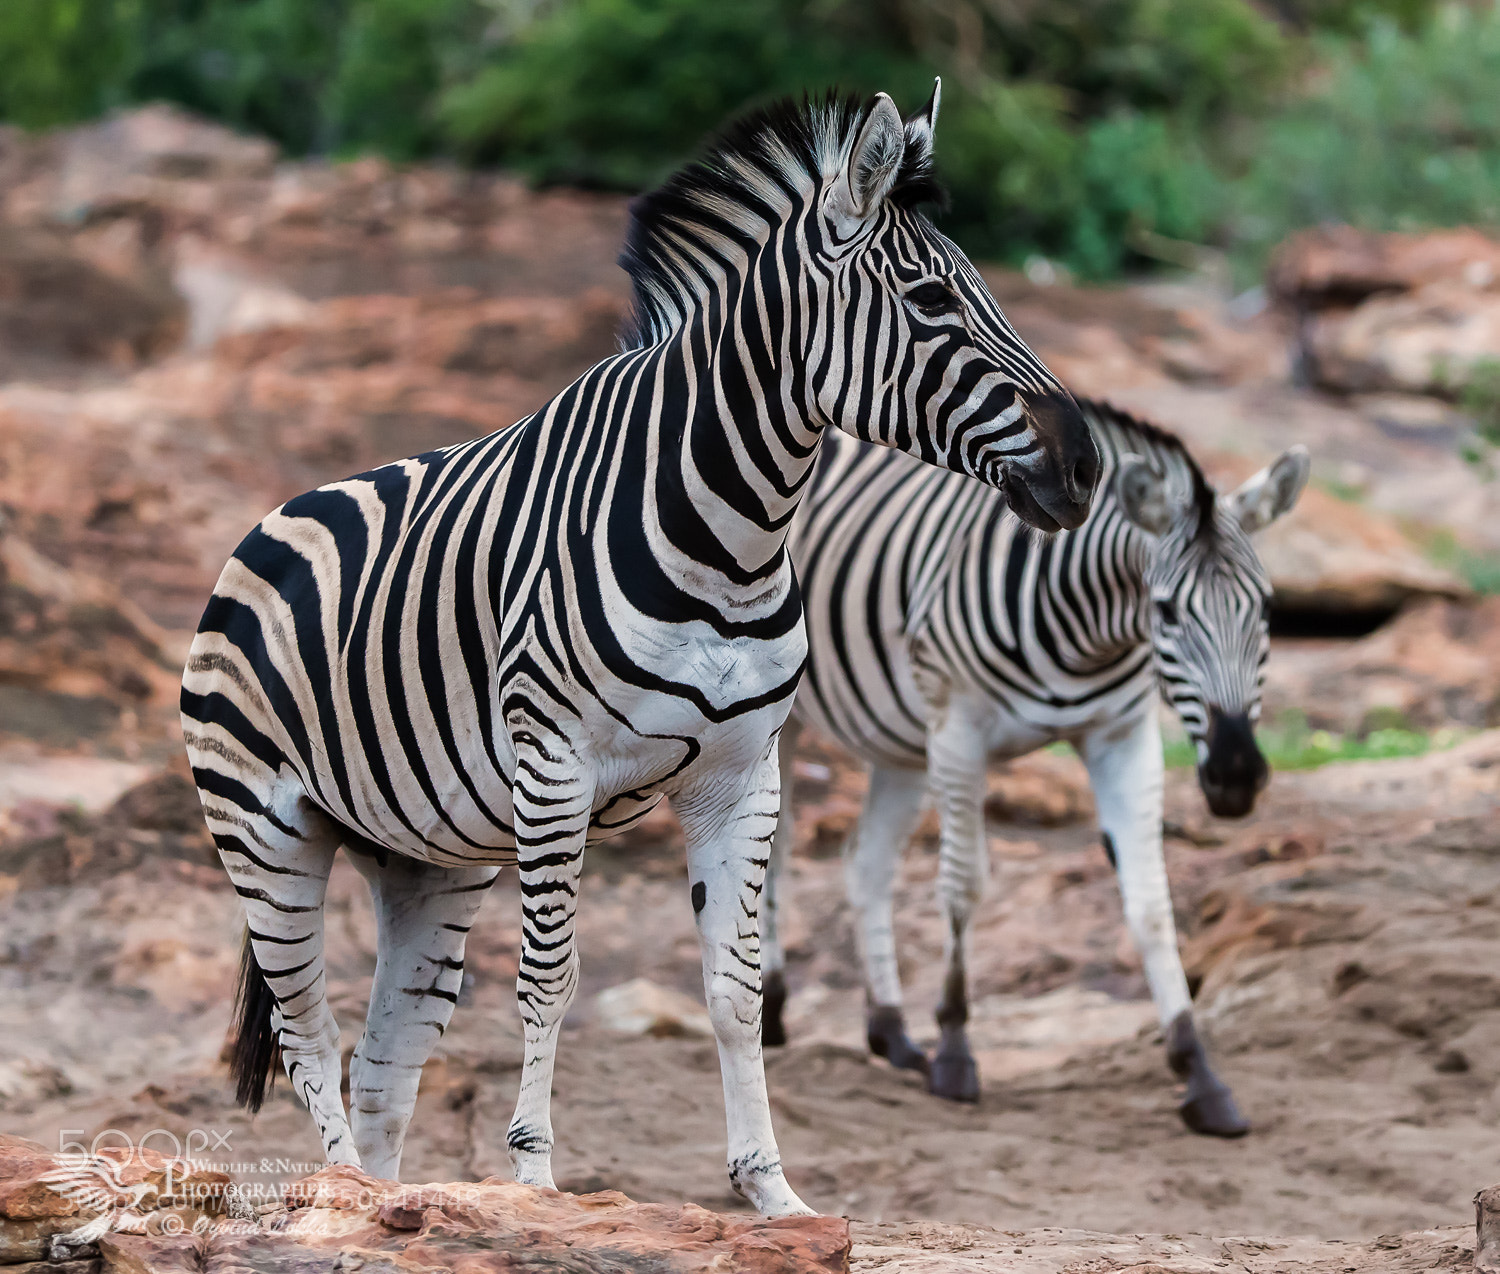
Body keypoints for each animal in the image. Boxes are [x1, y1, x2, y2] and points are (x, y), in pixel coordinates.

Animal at [180, 84, 1101, 1217]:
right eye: (931, 301)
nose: (1086, 464)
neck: (734, 539)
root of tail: (275, 514)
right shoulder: (554, 769)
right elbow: (551, 977)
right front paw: (536, 1178)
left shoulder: (743, 777)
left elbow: (736, 984)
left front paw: (772, 1192)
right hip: (264, 831)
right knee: (307, 1023)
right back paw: (346, 1195)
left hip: (425, 860)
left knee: (386, 1057)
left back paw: (391, 1210)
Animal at [762, 398, 1307, 1137]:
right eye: (1165, 611)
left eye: (1270, 608)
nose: (1237, 774)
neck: (1091, 634)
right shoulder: (960, 730)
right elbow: (964, 887)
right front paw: (955, 1051)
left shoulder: (1122, 735)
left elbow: (1151, 903)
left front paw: (1199, 1073)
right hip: (791, 715)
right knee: (778, 850)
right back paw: (771, 1011)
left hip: (902, 737)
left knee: (864, 861)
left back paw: (891, 1031)